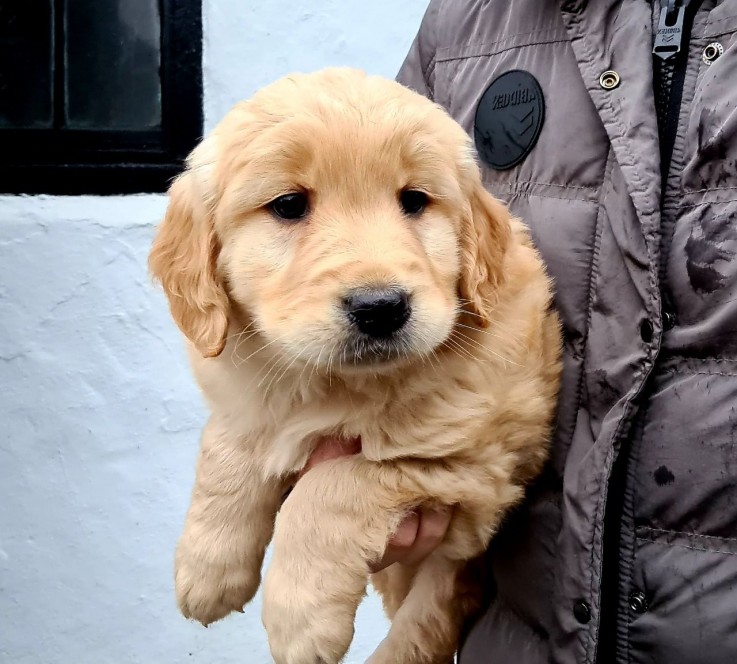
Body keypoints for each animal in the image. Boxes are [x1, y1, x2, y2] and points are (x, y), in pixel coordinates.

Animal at [150, 68, 564, 664]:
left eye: (414, 200)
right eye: (288, 204)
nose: (380, 307)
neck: (331, 384)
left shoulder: (475, 467)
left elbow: (333, 487)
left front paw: (299, 622)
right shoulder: (246, 396)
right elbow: (226, 450)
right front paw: (208, 568)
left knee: (435, 612)